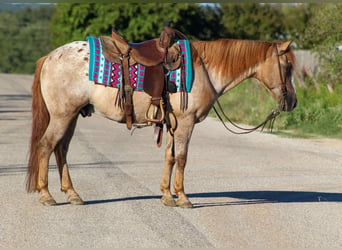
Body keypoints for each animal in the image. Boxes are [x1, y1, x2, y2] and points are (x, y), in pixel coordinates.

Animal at [26, 37, 296, 208]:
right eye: (288, 66)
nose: (292, 102)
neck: (204, 69)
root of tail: (50, 57)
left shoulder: (172, 125)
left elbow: (169, 156)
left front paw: (167, 195)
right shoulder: (186, 123)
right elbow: (182, 158)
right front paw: (183, 198)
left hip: (71, 116)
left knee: (61, 149)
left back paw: (72, 194)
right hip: (62, 116)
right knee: (46, 146)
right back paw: (46, 195)